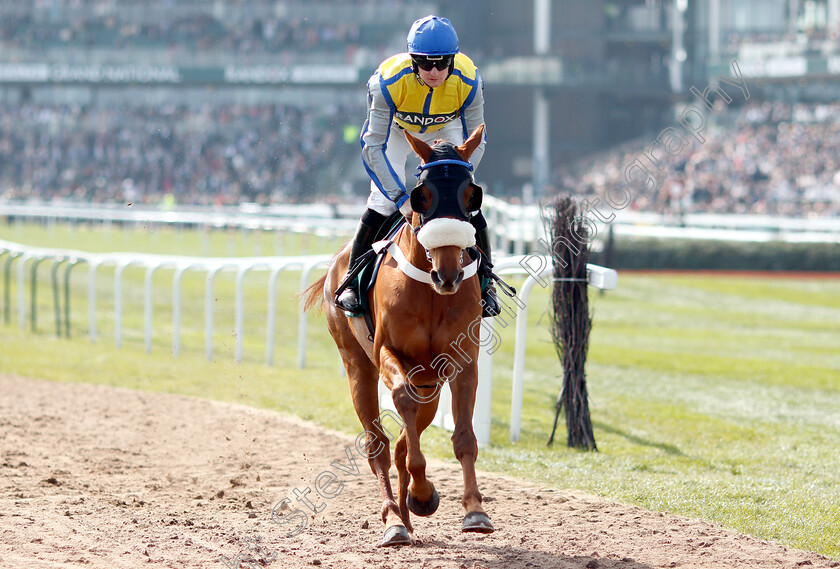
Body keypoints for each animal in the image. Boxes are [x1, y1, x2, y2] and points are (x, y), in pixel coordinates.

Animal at [304, 125, 492, 544]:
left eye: (470, 195)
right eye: (423, 195)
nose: (448, 274)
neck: (431, 292)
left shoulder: (462, 362)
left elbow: (463, 437)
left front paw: (473, 510)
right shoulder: (387, 353)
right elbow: (402, 403)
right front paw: (420, 495)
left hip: (430, 382)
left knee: (405, 442)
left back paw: (407, 513)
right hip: (357, 365)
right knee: (379, 444)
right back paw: (394, 519)